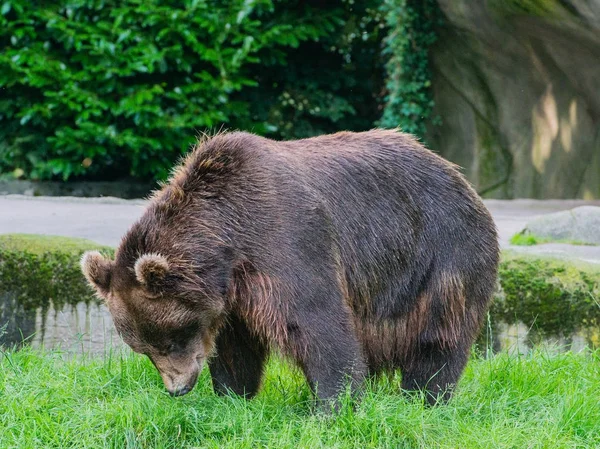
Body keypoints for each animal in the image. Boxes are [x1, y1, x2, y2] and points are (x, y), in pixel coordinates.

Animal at [82, 128, 500, 404]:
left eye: (171, 337)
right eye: (142, 348)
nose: (178, 389)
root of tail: (459, 176)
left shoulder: (287, 238)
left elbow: (317, 322)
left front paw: (334, 405)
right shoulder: (234, 294)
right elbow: (236, 345)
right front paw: (232, 396)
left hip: (443, 252)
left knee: (439, 336)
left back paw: (424, 396)